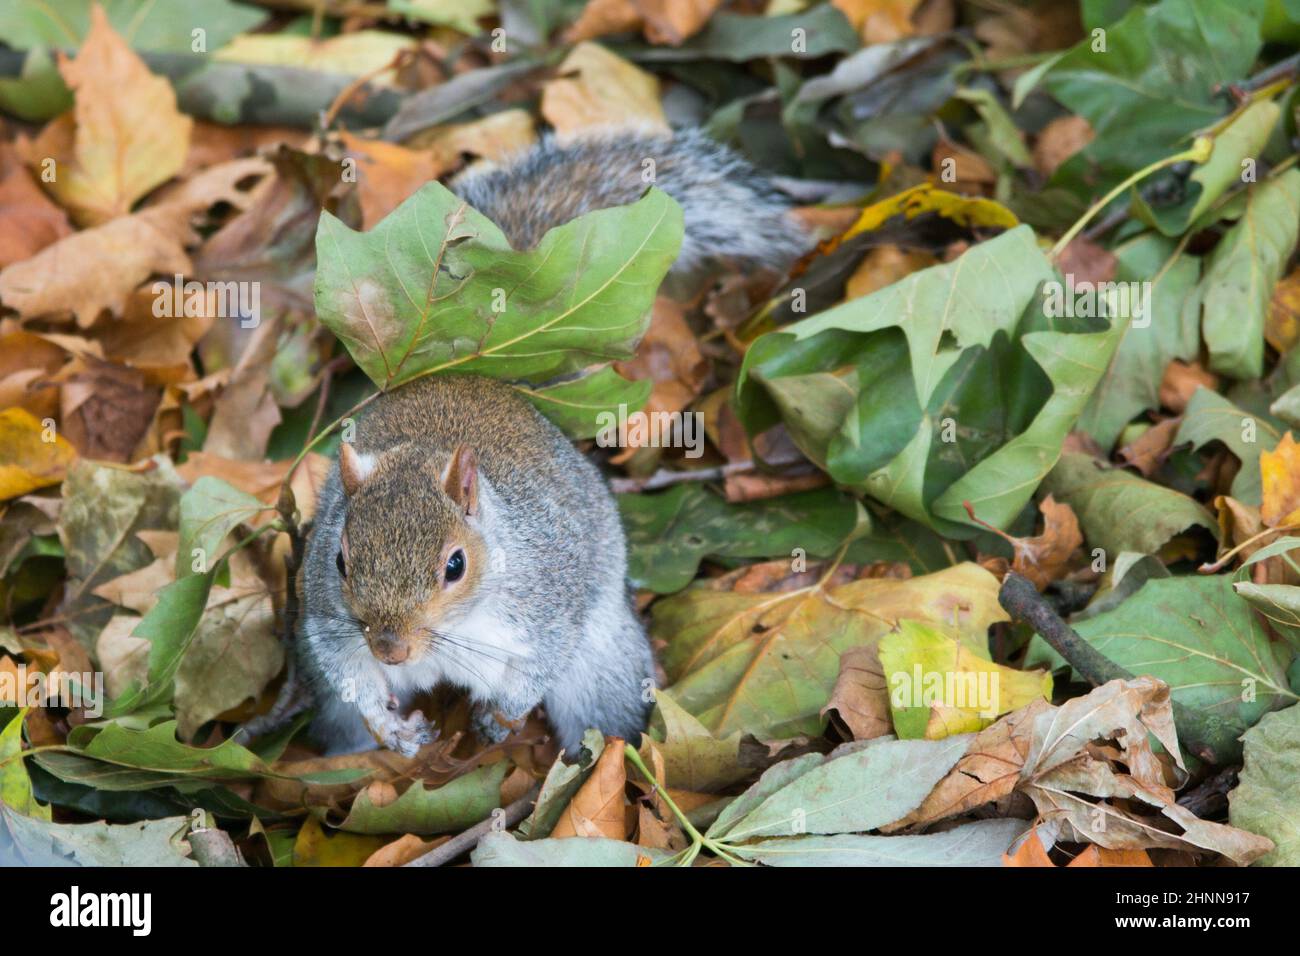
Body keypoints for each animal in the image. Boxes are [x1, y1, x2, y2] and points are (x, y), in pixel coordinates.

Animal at [297, 125, 800, 754]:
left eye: (455, 565)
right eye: (340, 560)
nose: (391, 649)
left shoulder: (546, 604)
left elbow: (540, 664)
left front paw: (502, 716)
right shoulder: (329, 623)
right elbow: (349, 675)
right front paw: (392, 729)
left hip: (602, 665)